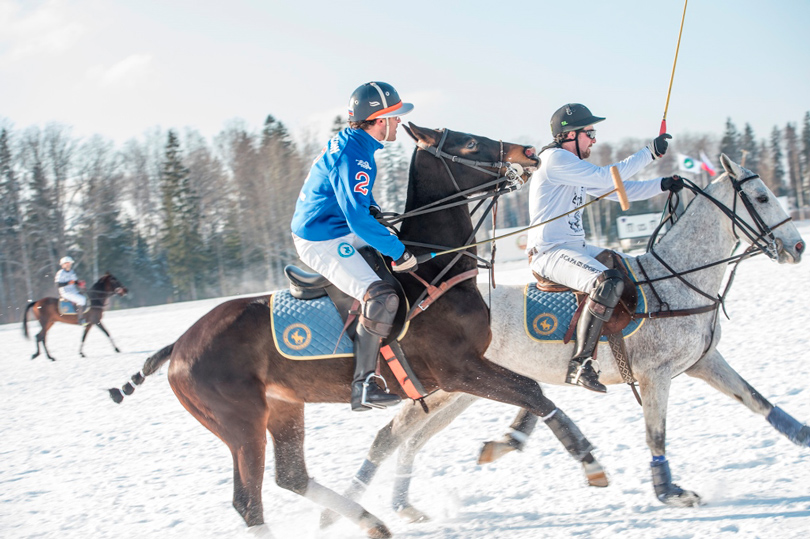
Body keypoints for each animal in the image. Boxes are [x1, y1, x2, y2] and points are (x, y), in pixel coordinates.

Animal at [109, 123, 592, 539]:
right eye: (470, 143)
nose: (528, 152)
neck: (432, 267)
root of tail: (179, 345)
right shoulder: (457, 370)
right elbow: (533, 392)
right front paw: (584, 454)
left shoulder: (461, 373)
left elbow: (529, 392)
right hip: (240, 422)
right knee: (249, 502)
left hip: (283, 408)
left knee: (291, 476)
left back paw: (367, 520)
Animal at [322, 152, 800, 524]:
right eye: (761, 197)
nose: (797, 248)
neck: (679, 280)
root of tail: (413, 302)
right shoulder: (656, 374)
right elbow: (656, 435)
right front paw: (671, 493)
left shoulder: (703, 361)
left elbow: (757, 400)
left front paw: (803, 437)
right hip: (449, 386)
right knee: (392, 435)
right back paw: (344, 511)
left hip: (460, 390)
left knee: (411, 438)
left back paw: (402, 503)